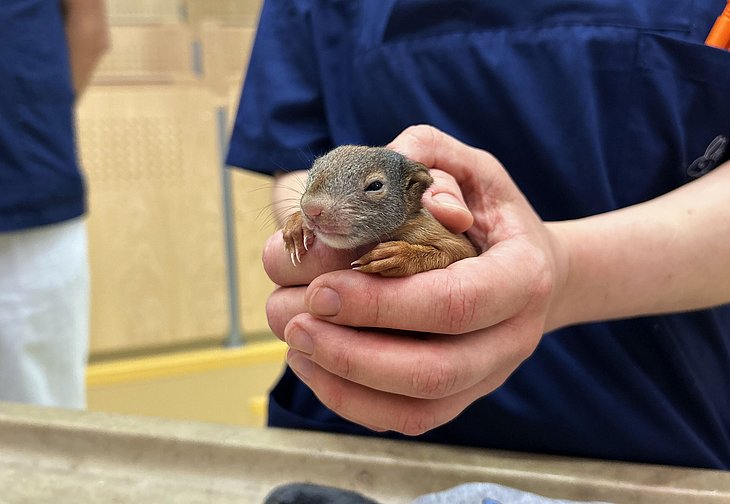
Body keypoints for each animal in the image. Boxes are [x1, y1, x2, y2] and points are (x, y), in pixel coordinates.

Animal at [282, 145, 478, 277]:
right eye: (311, 173)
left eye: (375, 186)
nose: (310, 208)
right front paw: (297, 226)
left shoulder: (445, 235)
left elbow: (457, 253)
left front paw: (398, 255)